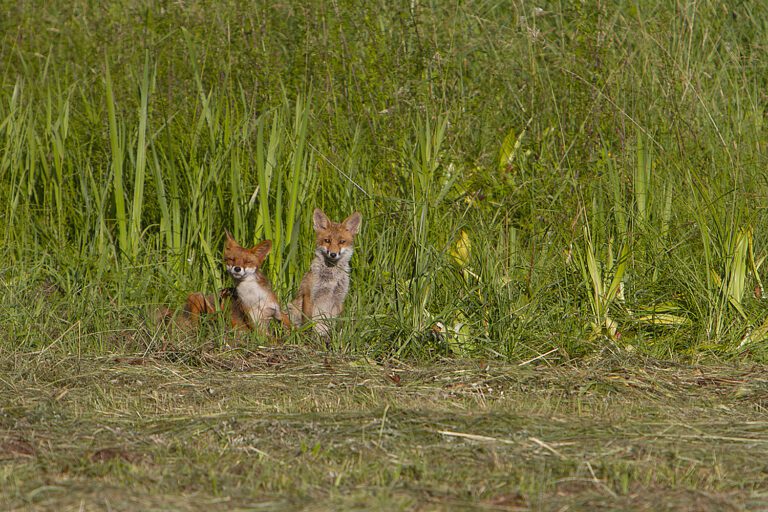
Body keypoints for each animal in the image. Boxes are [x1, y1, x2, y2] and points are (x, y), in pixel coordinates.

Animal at [288, 208, 364, 336]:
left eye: (341, 241)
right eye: (327, 241)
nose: (333, 254)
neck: (331, 279)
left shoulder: (339, 298)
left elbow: (338, 323)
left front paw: (336, 336)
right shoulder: (309, 295)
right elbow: (308, 322)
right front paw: (308, 337)